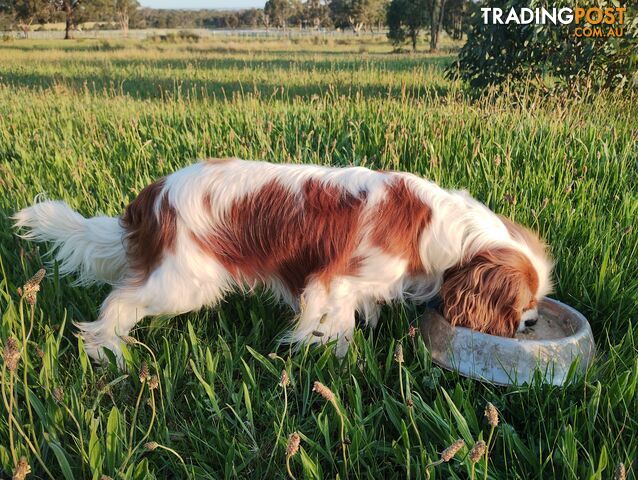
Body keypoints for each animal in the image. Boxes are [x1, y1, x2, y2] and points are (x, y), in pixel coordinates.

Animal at [15, 158, 556, 364]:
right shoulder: (334, 281)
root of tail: (152, 197)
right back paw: (105, 347)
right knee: (118, 302)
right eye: (524, 303)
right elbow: (333, 323)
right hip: (183, 284)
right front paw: (334, 361)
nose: (532, 322)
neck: (435, 225)